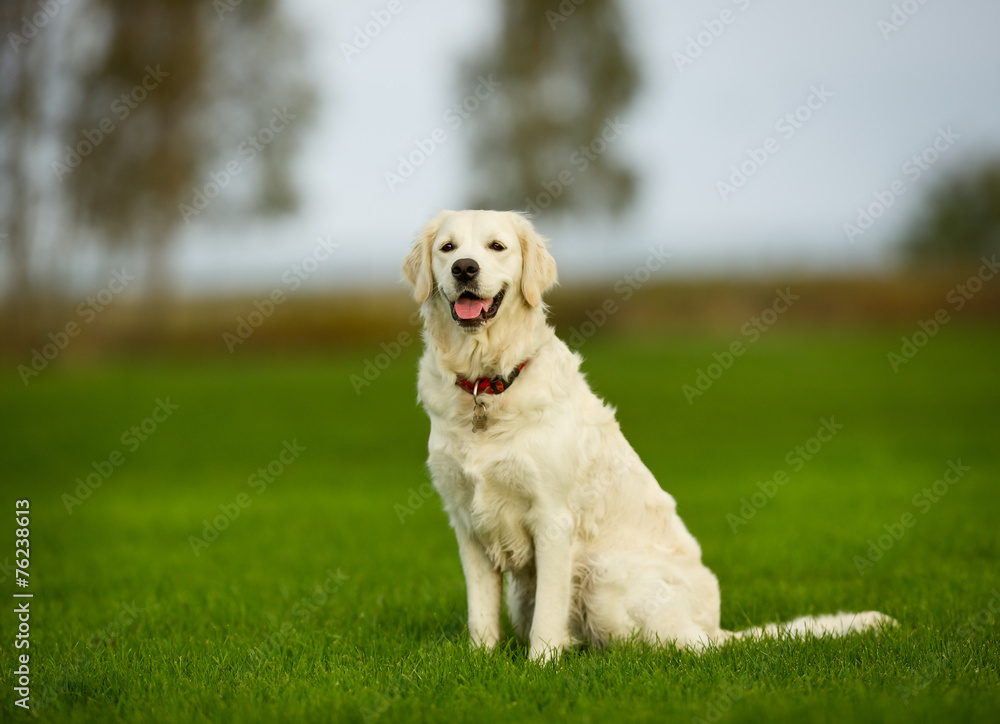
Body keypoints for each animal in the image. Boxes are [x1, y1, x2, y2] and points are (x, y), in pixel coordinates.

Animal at [402, 209, 896, 660]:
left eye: (497, 247)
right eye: (448, 248)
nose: (465, 268)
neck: (486, 384)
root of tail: (717, 628)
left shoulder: (553, 518)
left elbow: (548, 618)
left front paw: (540, 666)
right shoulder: (467, 522)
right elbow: (480, 613)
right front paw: (481, 661)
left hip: (602, 576)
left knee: (682, 647)